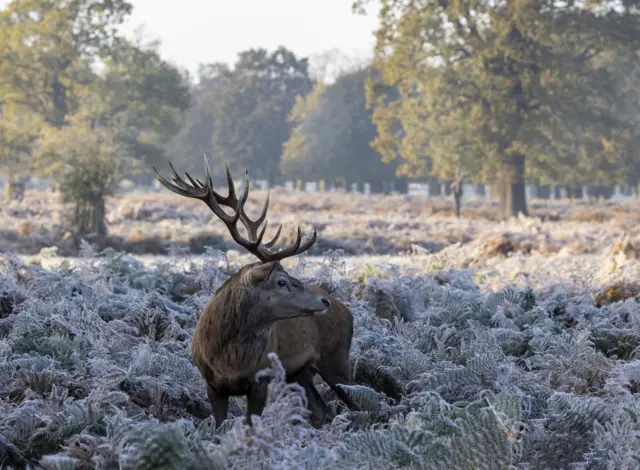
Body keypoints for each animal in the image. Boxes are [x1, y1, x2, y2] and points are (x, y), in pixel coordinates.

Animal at [154, 160, 360, 432]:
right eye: (281, 281)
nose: (324, 301)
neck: (228, 362)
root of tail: (347, 311)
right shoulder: (211, 385)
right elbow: (218, 427)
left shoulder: (260, 381)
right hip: (300, 372)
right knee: (320, 408)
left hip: (337, 360)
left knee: (363, 401)